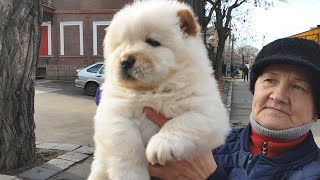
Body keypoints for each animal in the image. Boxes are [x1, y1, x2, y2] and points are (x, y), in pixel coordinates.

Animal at [88, 0, 230, 179]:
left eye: (153, 42)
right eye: (120, 45)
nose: (125, 61)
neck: (152, 90)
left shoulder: (209, 115)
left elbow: (181, 122)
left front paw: (160, 146)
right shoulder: (114, 115)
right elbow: (128, 146)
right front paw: (133, 175)